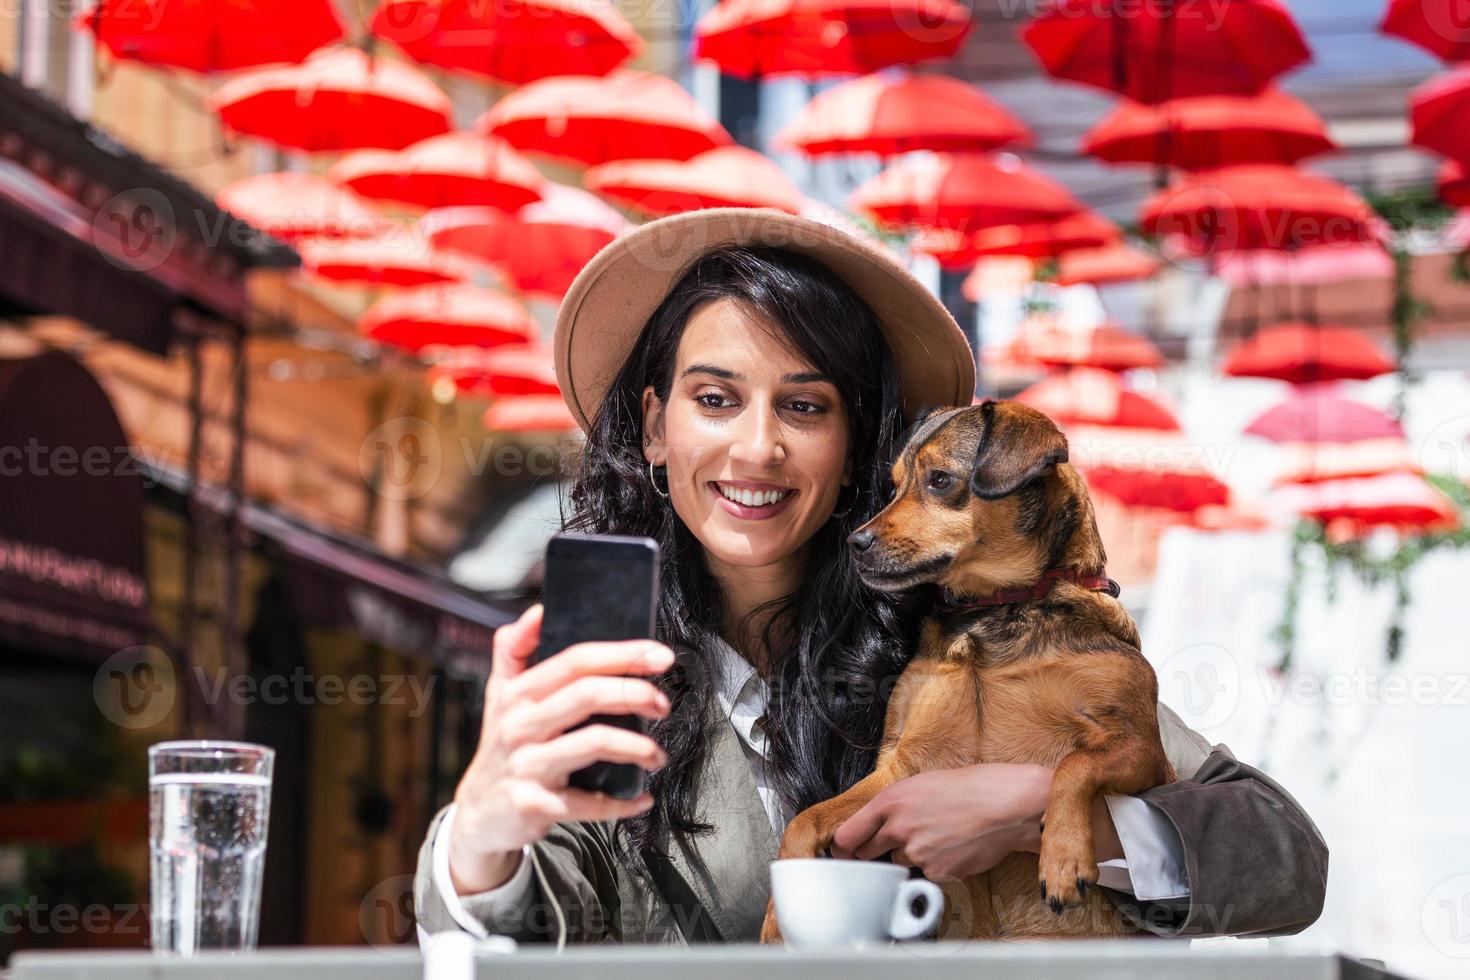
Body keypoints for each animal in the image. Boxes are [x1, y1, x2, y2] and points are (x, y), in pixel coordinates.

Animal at [764, 399, 1176, 940]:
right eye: (893, 487)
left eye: (939, 480)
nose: (855, 542)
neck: (990, 614)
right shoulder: (897, 769)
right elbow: (806, 820)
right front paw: (777, 916)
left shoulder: (1144, 750)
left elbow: (1075, 765)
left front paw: (1063, 856)